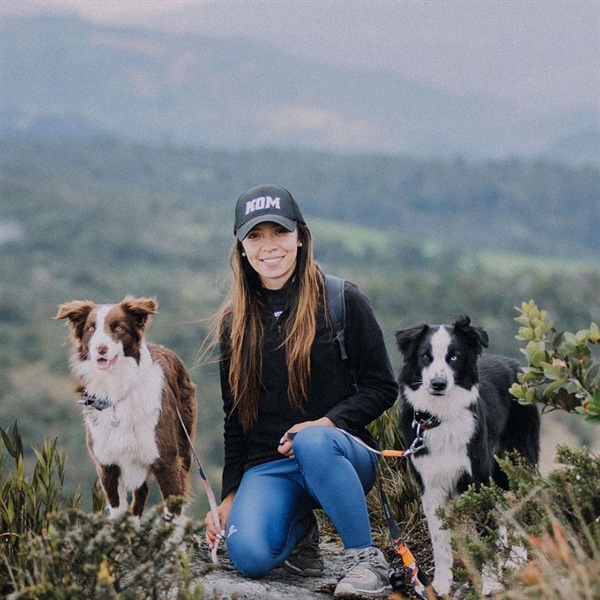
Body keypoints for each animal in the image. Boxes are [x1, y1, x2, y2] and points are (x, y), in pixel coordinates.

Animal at [56, 296, 197, 520]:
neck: (117, 390)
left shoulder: (167, 461)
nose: (101, 348)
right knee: (141, 493)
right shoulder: (107, 466)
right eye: (91, 328)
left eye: (119, 327)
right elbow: (118, 511)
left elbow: (173, 514)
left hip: (185, 445)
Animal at [396, 314, 540, 596]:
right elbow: (440, 543)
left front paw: (491, 583)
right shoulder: (431, 488)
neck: (441, 417)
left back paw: (517, 559)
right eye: (425, 356)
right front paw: (441, 585)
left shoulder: (478, 479)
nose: (438, 384)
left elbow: (486, 536)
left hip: (519, 463)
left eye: (454, 357)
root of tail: (516, 364)